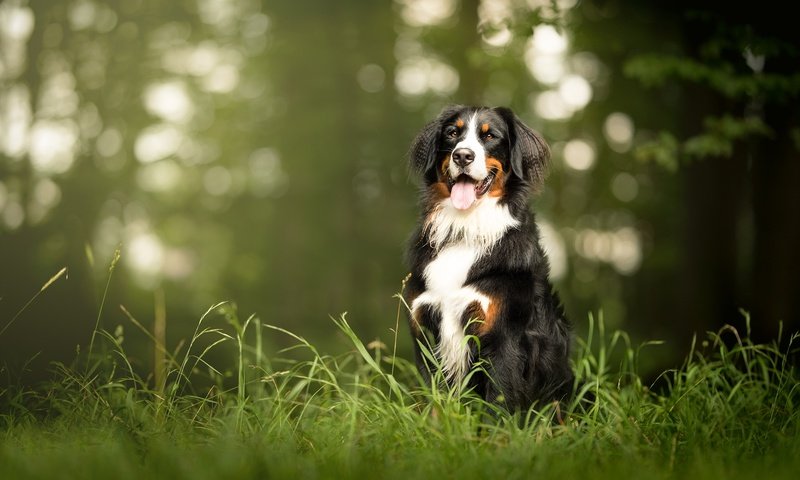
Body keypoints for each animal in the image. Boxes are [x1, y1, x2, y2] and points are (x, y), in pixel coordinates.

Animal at [404, 105, 572, 412]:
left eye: (490, 136)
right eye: (452, 133)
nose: (462, 155)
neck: (466, 228)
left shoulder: (503, 336)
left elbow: (498, 403)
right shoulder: (425, 329)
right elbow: (433, 400)